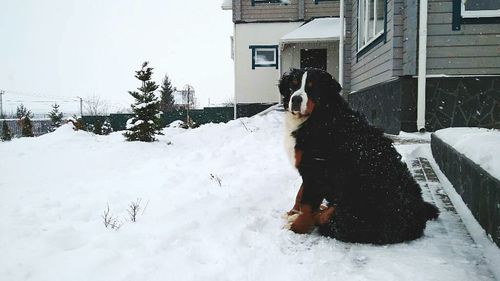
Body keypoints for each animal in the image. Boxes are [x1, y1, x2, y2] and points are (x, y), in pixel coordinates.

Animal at [280, 67, 440, 243]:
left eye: (312, 87)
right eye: (293, 85)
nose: (295, 99)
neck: (319, 116)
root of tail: (419, 217)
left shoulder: (317, 170)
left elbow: (307, 205)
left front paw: (296, 228)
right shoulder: (309, 167)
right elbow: (300, 194)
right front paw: (293, 213)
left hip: (353, 212)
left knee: (327, 219)